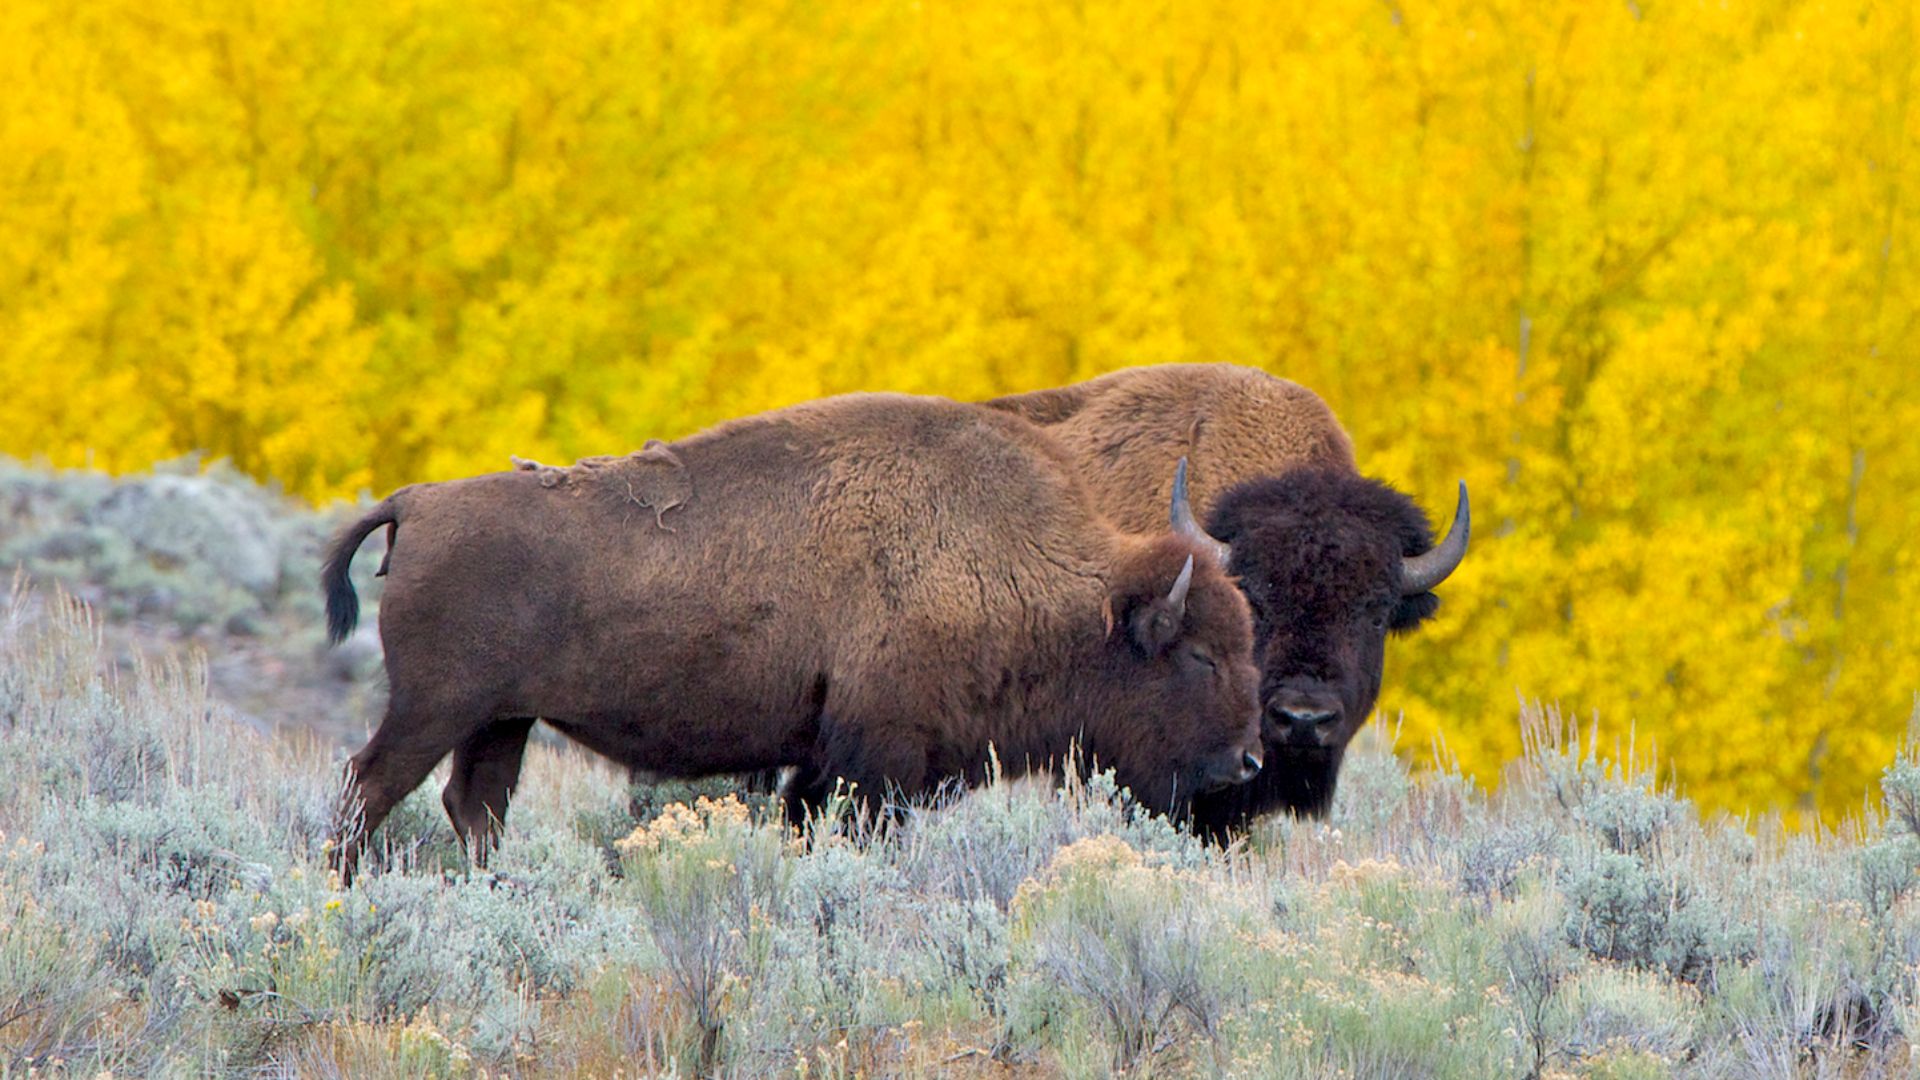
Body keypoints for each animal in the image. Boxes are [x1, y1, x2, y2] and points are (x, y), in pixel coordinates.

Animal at [320, 392, 1264, 881]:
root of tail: (418, 502)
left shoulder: (829, 767)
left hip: (499, 721)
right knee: (369, 786)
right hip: (434, 709)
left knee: (472, 803)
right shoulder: (878, 763)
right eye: (1200, 654)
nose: (1249, 761)